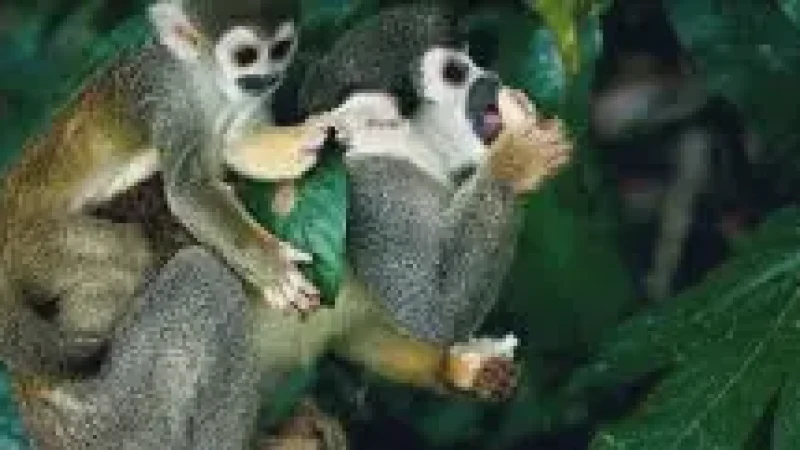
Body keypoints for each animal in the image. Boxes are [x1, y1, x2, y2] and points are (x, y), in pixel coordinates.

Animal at [2, 5, 572, 449]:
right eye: (456, 72)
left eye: (475, 59)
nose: (492, 81)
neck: (415, 147)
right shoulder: (371, 188)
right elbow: (431, 307)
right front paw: (516, 161)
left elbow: (361, 332)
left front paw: (464, 368)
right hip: (114, 422)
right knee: (201, 282)